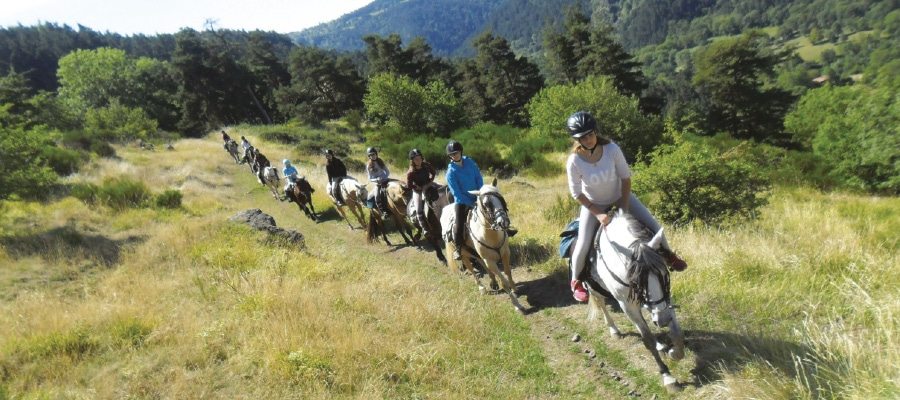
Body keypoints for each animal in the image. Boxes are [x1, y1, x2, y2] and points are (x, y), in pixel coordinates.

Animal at [440, 180, 524, 314]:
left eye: (501, 199)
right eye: (486, 204)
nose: (503, 222)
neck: (491, 235)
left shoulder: (505, 253)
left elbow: (508, 272)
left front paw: (514, 288)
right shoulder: (490, 260)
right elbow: (503, 282)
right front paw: (517, 304)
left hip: (476, 253)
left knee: (482, 264)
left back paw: (493, 282)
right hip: (464, 255)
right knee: (471, 269)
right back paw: (481, 288)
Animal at [588, 209, 684, 394]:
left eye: (664, 273)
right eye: (637, 281)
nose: (663, 321)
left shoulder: (664, 299)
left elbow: (676, 332)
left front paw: (674, 353)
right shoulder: (627, 305)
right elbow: (647, 339)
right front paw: (667, 376)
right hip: (593, 288)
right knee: (602, 304)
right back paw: (614, 330)